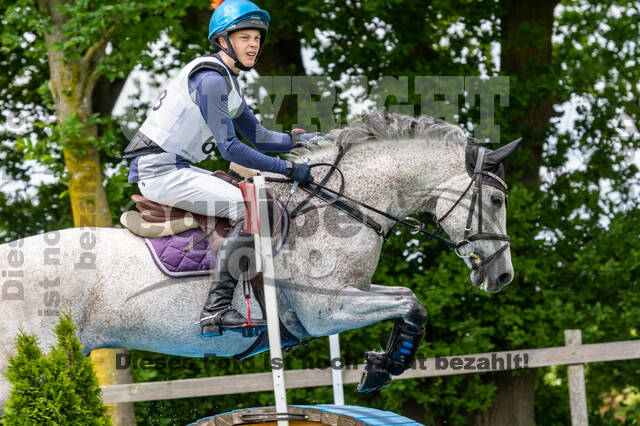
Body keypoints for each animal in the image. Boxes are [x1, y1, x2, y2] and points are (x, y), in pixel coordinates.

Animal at [0, 111, 520, 408]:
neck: (340, 207)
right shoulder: (325, 310)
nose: (502, 276)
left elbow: (410, 301)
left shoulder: (348, 295)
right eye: (496, 200)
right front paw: (381, 370)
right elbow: (412, 302)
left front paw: (380, 365)